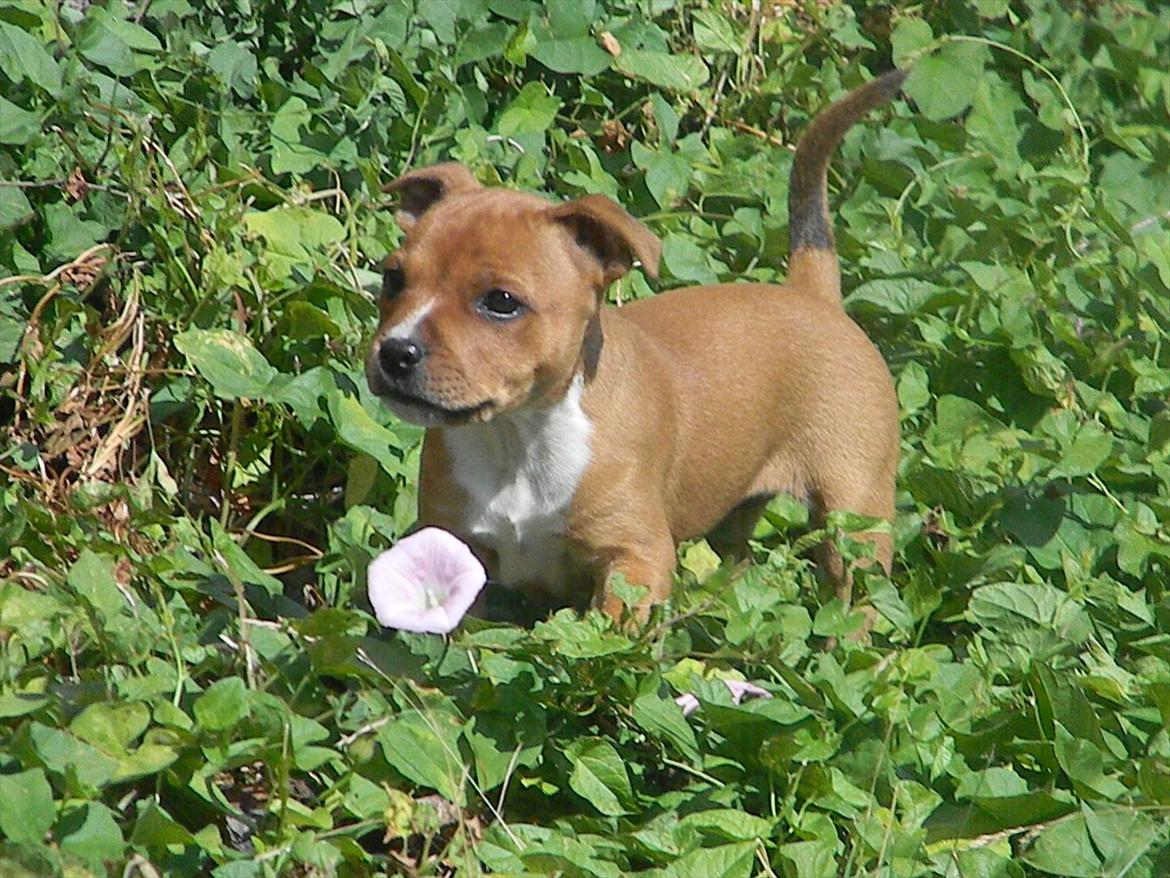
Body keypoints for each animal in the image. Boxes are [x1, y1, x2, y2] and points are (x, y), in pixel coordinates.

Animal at [365, 70, 903, 627]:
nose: (397, 352)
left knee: (858, 589)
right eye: (393, 278)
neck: (519, 436)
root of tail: (811, 292)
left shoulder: (635, 558)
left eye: (501, 302)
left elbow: (613, 632)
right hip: (733, 517)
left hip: (855, 511)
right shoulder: (457, 549)